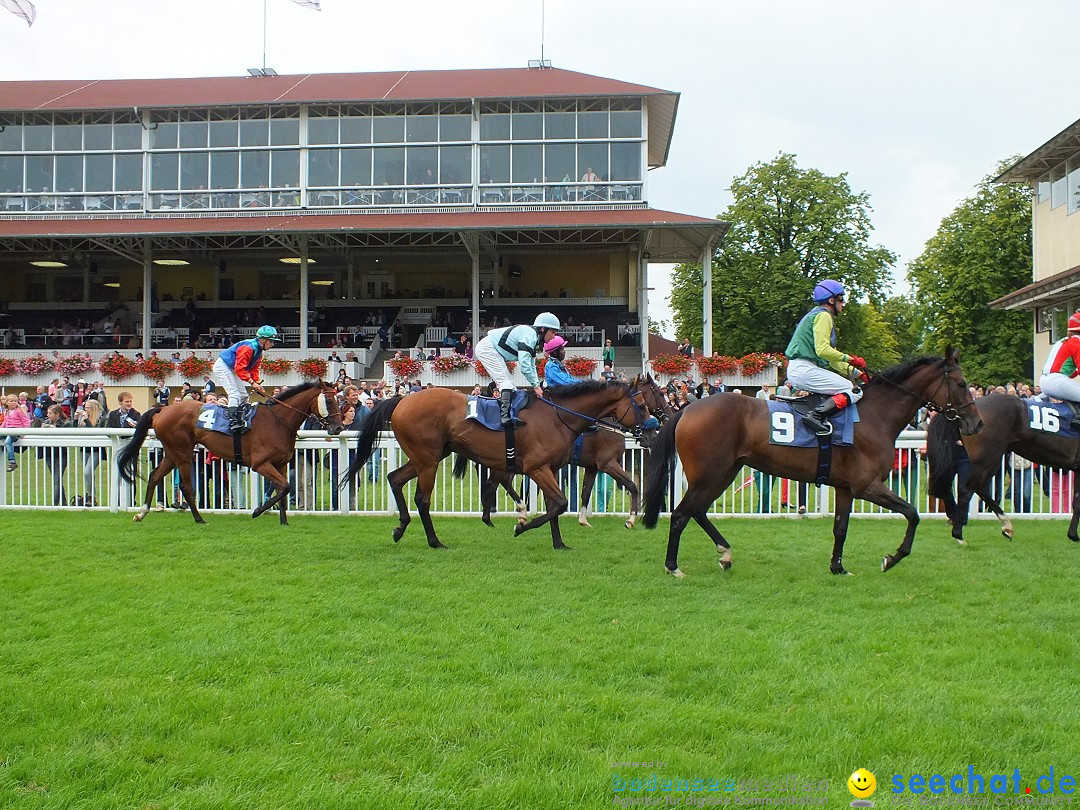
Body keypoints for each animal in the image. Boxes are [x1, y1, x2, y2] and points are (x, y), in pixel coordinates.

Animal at [117, 380, 341, 527]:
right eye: (329, 401)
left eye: (339, 400)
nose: (338, 428)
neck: (278, 421)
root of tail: (163, 410)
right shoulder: (260, 464)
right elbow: (285, 487)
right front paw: (257, 511)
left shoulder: (281, 464)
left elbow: (283, 490)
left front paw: (284, 522)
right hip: (182, 452)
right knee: (186, 486)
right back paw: (200, 519)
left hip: (173, 453)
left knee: (155, 476)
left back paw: (141, 513)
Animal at [347, 382, 656, 552]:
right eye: (642, 405)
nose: (653, 432)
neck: (559, 416)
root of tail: (401, 400)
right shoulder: (536, 468)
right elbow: (559, 503)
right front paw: (521, 526)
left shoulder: (552, 468)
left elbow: (556, 506)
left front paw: (559, 543)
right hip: (428, 459)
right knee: (422, 498)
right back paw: (435, 541)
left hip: (429, 456)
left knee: (395, 478)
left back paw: (400, 527)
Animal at [639, 354, 989, 578]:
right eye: (961, 383)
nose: (977, 423)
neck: (875, 416)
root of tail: (686, 411)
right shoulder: (867, 485)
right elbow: (913, 513)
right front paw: (892, 558)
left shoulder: (846, 488)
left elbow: (841, 528)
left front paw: (838, 567)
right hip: (709, 474)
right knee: (681, 514)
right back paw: (673, 566)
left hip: (725, 472)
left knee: (696, 510)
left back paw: (724, 553)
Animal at [924, 395, 1080, 546]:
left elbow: (1077, 502)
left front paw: (1073, 535)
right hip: (988, 458)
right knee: (967, 489)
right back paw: (959, 535)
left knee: (979, 488)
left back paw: (1007, 526)